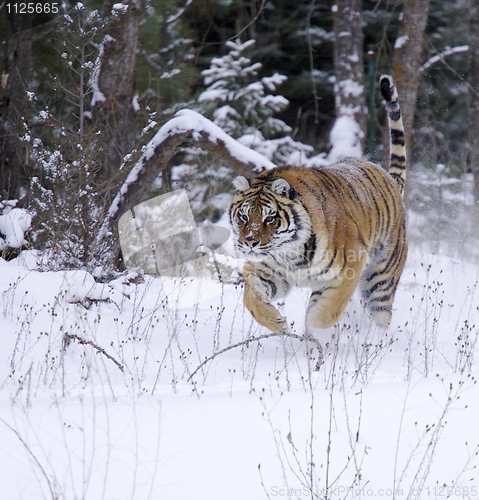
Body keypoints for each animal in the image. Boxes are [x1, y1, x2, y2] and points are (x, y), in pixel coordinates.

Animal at [229, 74, 408, 334]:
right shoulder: (265, 270)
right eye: (243, 217)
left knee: (380, 316)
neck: (289, 254)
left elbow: (326, 311)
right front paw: (278, 323)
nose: (250, 242)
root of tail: (388, 177)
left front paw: (314, 332)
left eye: (269, 218)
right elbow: (251, 298)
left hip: (380, 279)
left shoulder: (349, 268)